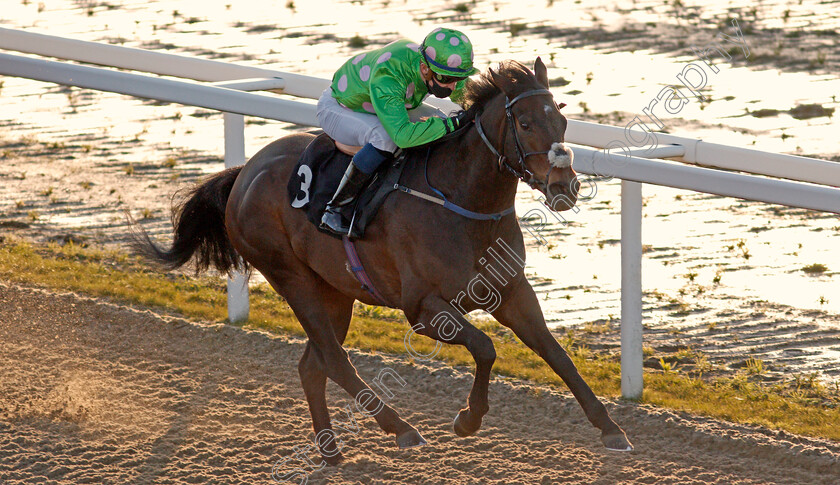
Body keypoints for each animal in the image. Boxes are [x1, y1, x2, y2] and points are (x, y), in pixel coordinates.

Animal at [136, 55, 632, 462]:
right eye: (526, 124)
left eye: (562, 120)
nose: (565, 186)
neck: (461, 203)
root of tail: (244, 173)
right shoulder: (423, 309)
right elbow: (486, 348)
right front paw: (468, 419)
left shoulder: (512, 291)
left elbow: (556, 354)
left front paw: (611, 429)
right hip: (290, 276)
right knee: (335, 361)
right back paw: (401, 429)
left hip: (335, 291)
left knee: (314, 364)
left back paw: (331, 450)